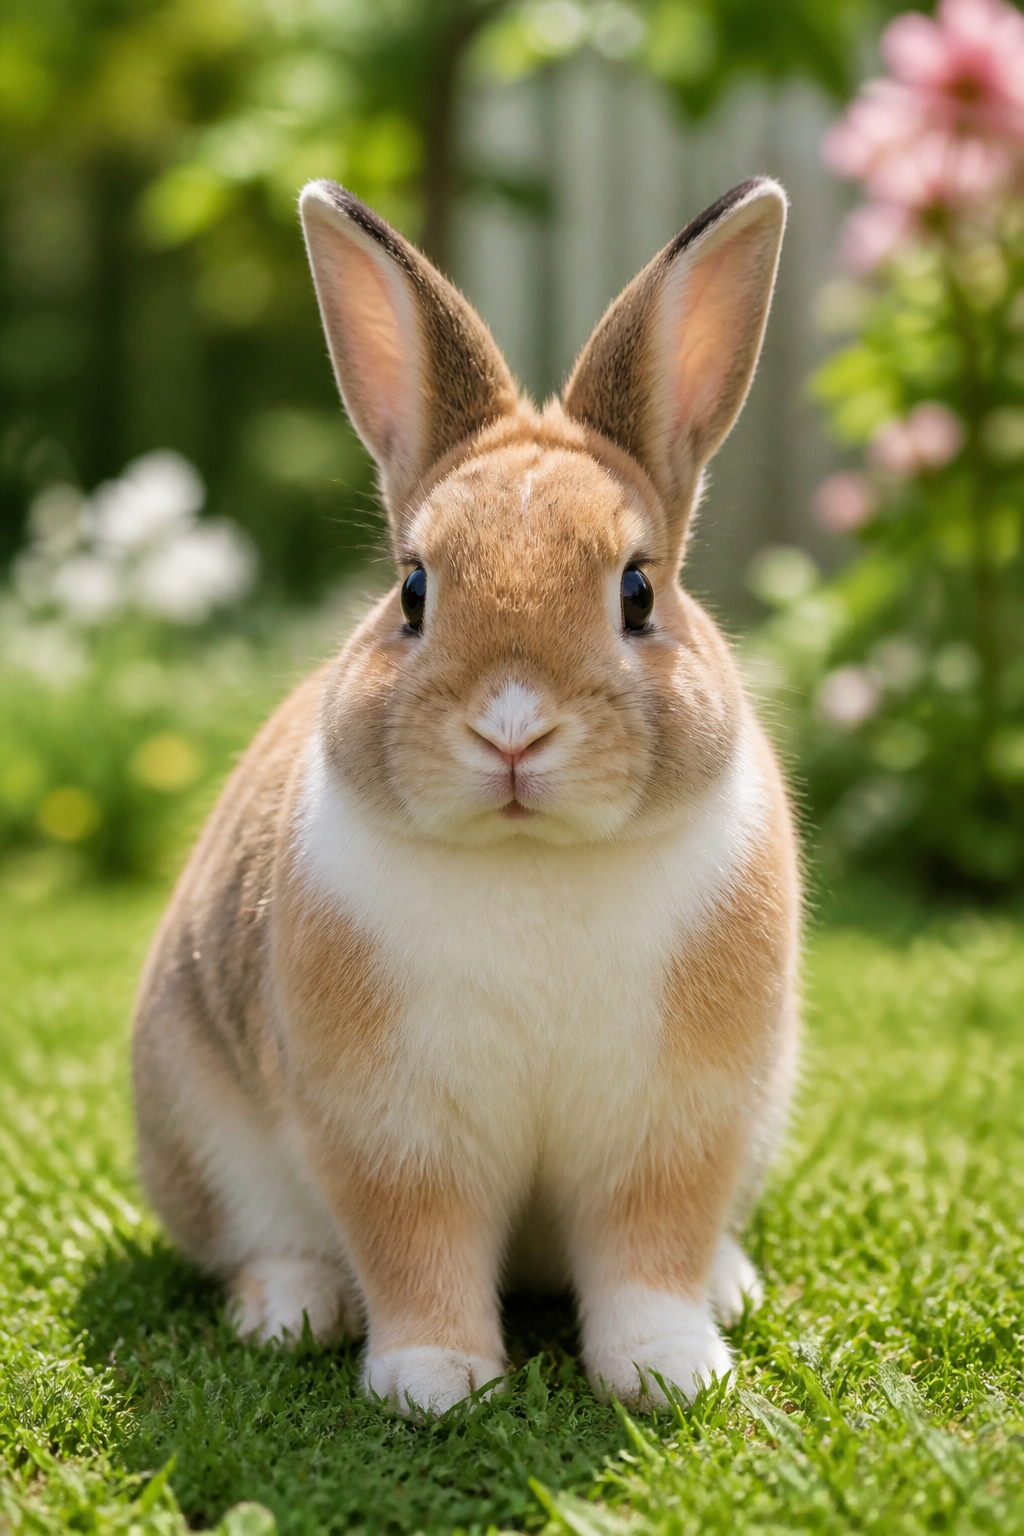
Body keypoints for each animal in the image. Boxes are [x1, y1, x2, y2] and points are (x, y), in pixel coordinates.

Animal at [132, 174, 801, 1418]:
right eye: (411, 590)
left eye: (637, 593)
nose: (511, 728)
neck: (528, 858)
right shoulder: (390, 1130)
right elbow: (417, 1243)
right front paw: (434, 1382)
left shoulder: (679, 1121)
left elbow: (648, 1251)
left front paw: (669, 1372)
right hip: (205, 1132)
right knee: (268, 1239)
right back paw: (291, 1310)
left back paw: (729, 1287)